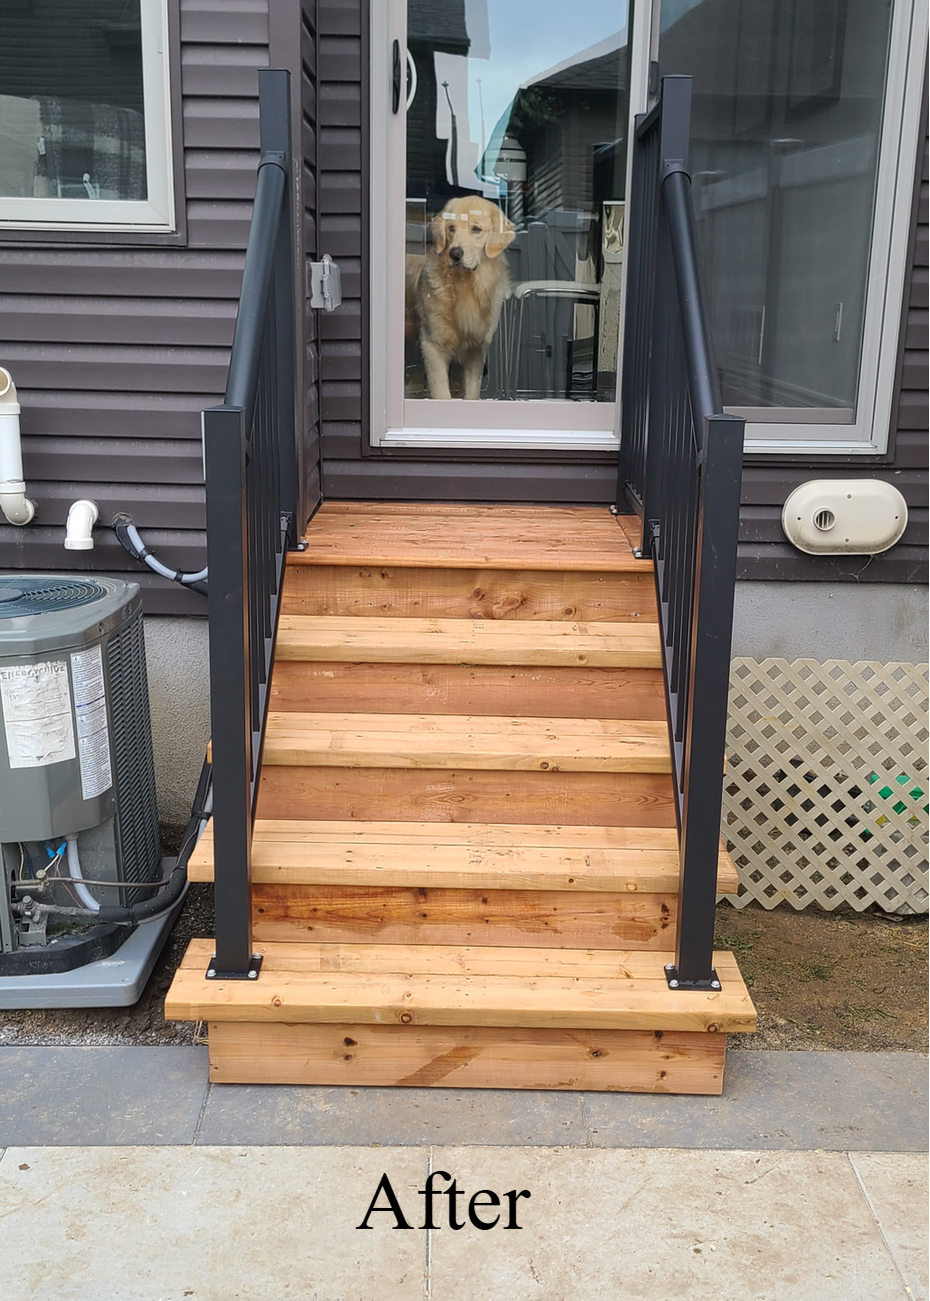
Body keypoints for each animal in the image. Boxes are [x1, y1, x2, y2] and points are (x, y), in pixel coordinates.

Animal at [405, 195, 516, 400]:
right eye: (451, 228)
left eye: (476, 229)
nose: (455, 254)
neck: (465, 285)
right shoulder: (433, 346)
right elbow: (442, 393)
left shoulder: (476, 351)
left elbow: (471, 393)